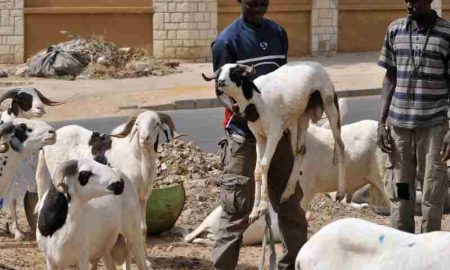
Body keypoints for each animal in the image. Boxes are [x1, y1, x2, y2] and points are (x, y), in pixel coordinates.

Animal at [202, 61, 346, 224]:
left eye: (236, 72)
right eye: (219, 72)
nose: (220, 82)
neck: (257, 99)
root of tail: (316, 65)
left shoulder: (274, 134)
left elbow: (265, 166)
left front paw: (264, 206)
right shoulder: (259, 137)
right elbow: (257, 170)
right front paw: (254, 212)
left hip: (330, 105)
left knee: (340, 146)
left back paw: (340, 193)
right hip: (302, 116)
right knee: (301, 151)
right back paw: (287, 192)